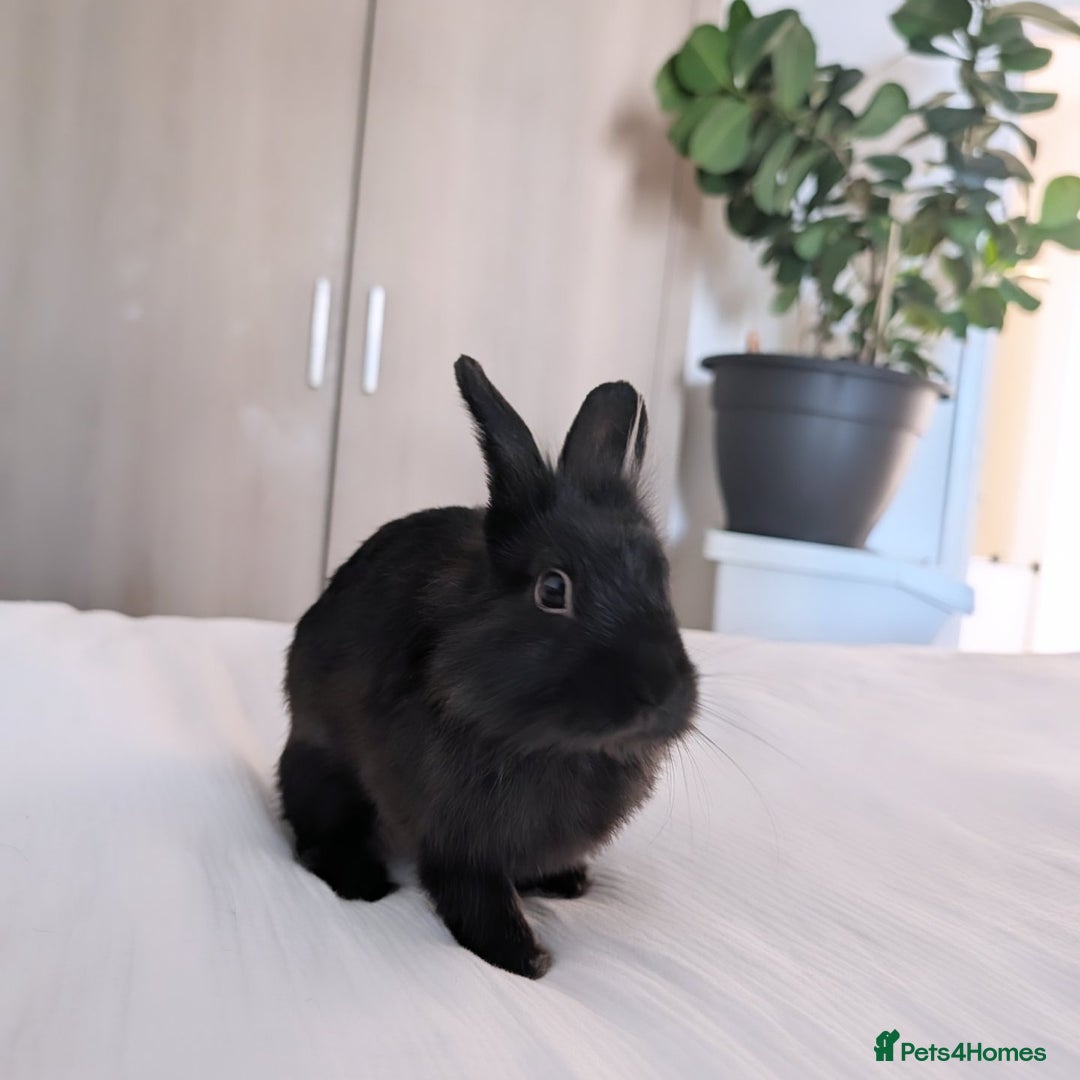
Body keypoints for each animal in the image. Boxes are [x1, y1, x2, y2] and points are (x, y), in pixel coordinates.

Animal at [278, 356, 698, 978]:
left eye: (662, 578)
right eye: (553, 589)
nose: (662, 695)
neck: (553, 745)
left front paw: (565, 882)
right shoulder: (456, 838)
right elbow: (474, 894)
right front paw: (525, 958)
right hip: (320, 767)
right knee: (313, 834)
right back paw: (363, 884)